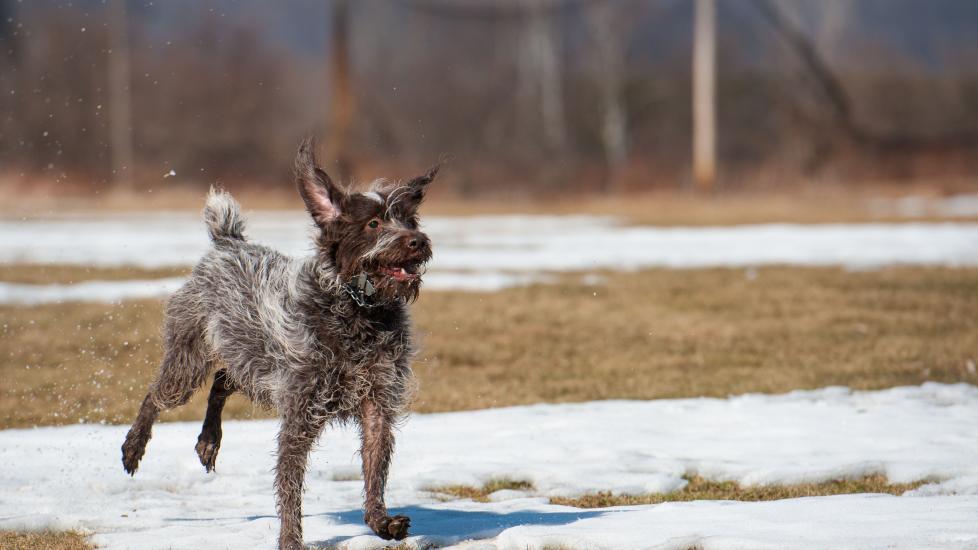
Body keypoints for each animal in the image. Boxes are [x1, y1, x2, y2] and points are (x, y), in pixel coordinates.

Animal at [120, 140, 436, 548]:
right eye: (374, 223)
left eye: (410, 221)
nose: (418, 241)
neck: (358, 310)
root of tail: (228, 242)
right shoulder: (300, 413)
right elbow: (290, 487)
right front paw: (290, 540)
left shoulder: (376, 404)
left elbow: (374, 468)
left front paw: (380, 521)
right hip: (189, 364)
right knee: (156, 397)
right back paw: (134, 447)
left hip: (251, 364)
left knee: (222, 381)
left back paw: (209, 440)